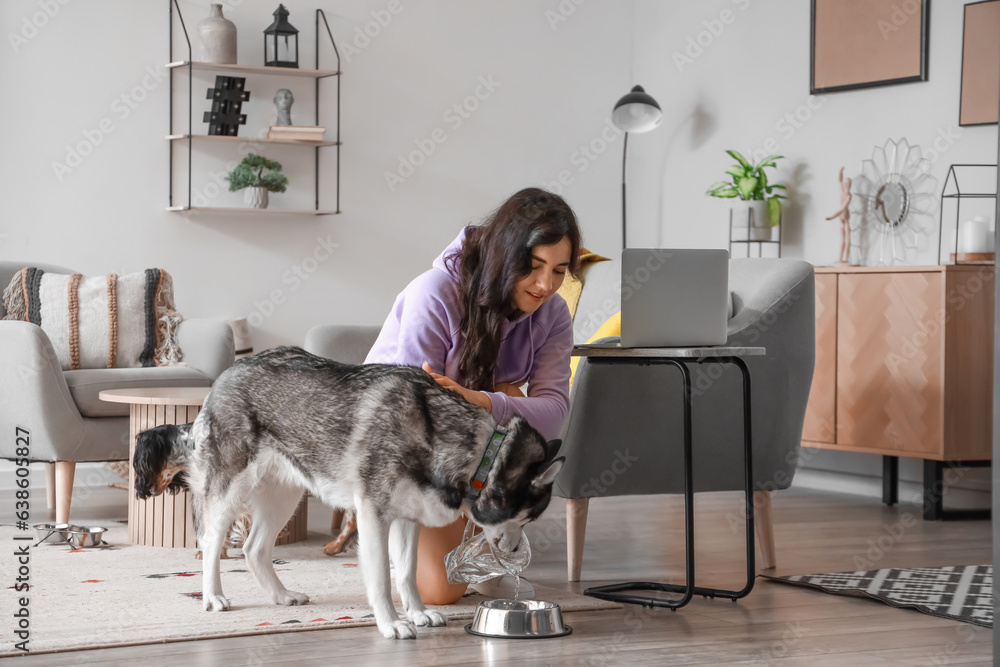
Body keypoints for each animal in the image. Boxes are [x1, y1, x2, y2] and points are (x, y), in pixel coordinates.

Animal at [135, 348, 564, 640]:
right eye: (525, 517)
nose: (515, 552)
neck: (477, 451)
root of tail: (225, 375)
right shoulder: (373, 516)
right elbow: (380, 579)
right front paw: (391, 623)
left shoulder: (406, 520)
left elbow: (406, 573)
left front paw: (417, 613)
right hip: (230, 493)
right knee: (210, 542)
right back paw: (212, 597)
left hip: (284, 497)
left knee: (255, 549)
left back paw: (282, 596)